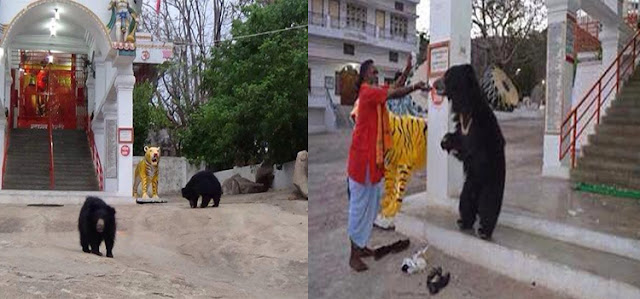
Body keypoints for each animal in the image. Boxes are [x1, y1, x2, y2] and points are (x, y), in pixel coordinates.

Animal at [432, 63, 508, 241]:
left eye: (447, 76)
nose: (434, 84)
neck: (466, 108)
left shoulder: (478, 129)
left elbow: (472, 151)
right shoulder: (462, 125)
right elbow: (458, 137)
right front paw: (445, 141)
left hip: (492, 181)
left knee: (489, 205)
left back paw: (484, 230)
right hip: (470, 184)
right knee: (466, 201)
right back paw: (463, 221)